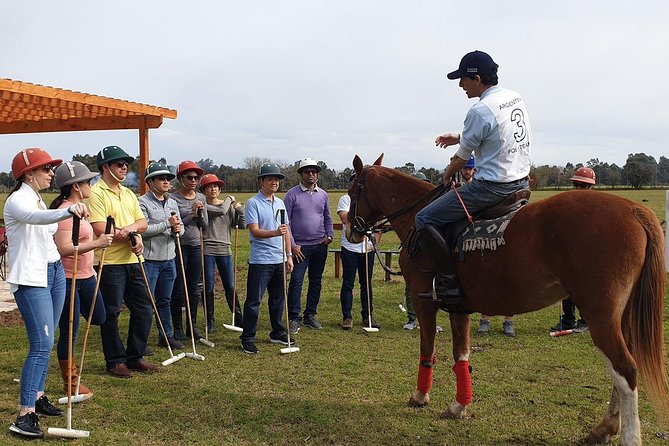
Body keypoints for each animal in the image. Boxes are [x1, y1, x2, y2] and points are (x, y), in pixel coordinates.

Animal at [348, 155, 664, 444]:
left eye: (352, 191)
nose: (352, 230)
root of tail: (635, 209)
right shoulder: (458, 307)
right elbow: (461, 354)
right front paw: (459, 406)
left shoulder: (423, 300)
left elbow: (427, 348)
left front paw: (420, 396)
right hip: (619, 316)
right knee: (619, 369)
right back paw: (605, 428)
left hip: (599, 314)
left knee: (625, 369)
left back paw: (627, 435)